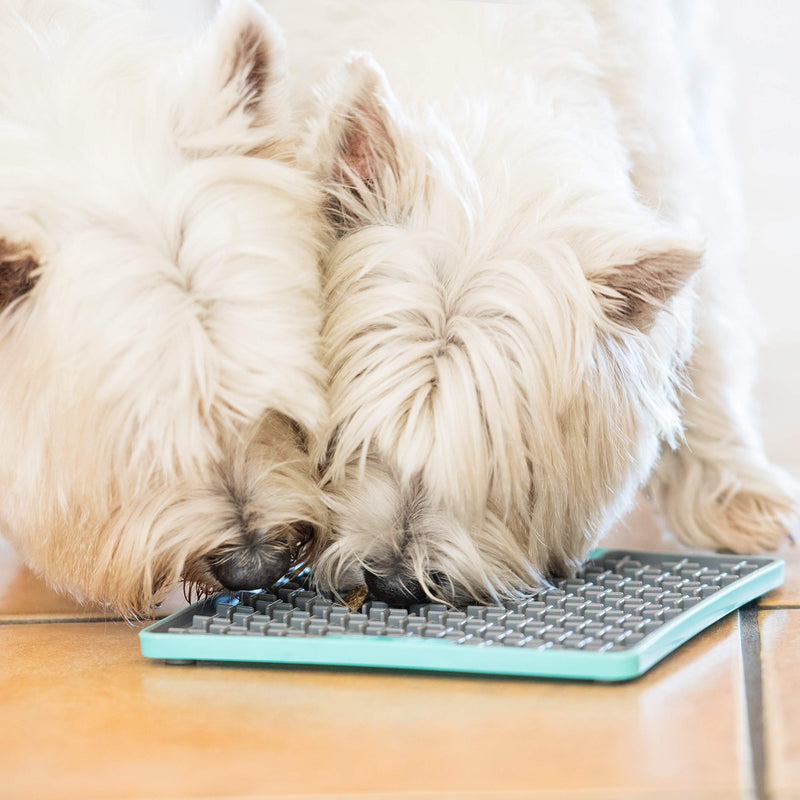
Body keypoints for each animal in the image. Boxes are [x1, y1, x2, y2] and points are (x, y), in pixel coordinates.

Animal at [264, 0, 800, 604]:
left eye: (503, 473)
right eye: (350, 441)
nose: (394, 580)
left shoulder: (667, 158)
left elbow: (709, 336)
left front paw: (734, 496)